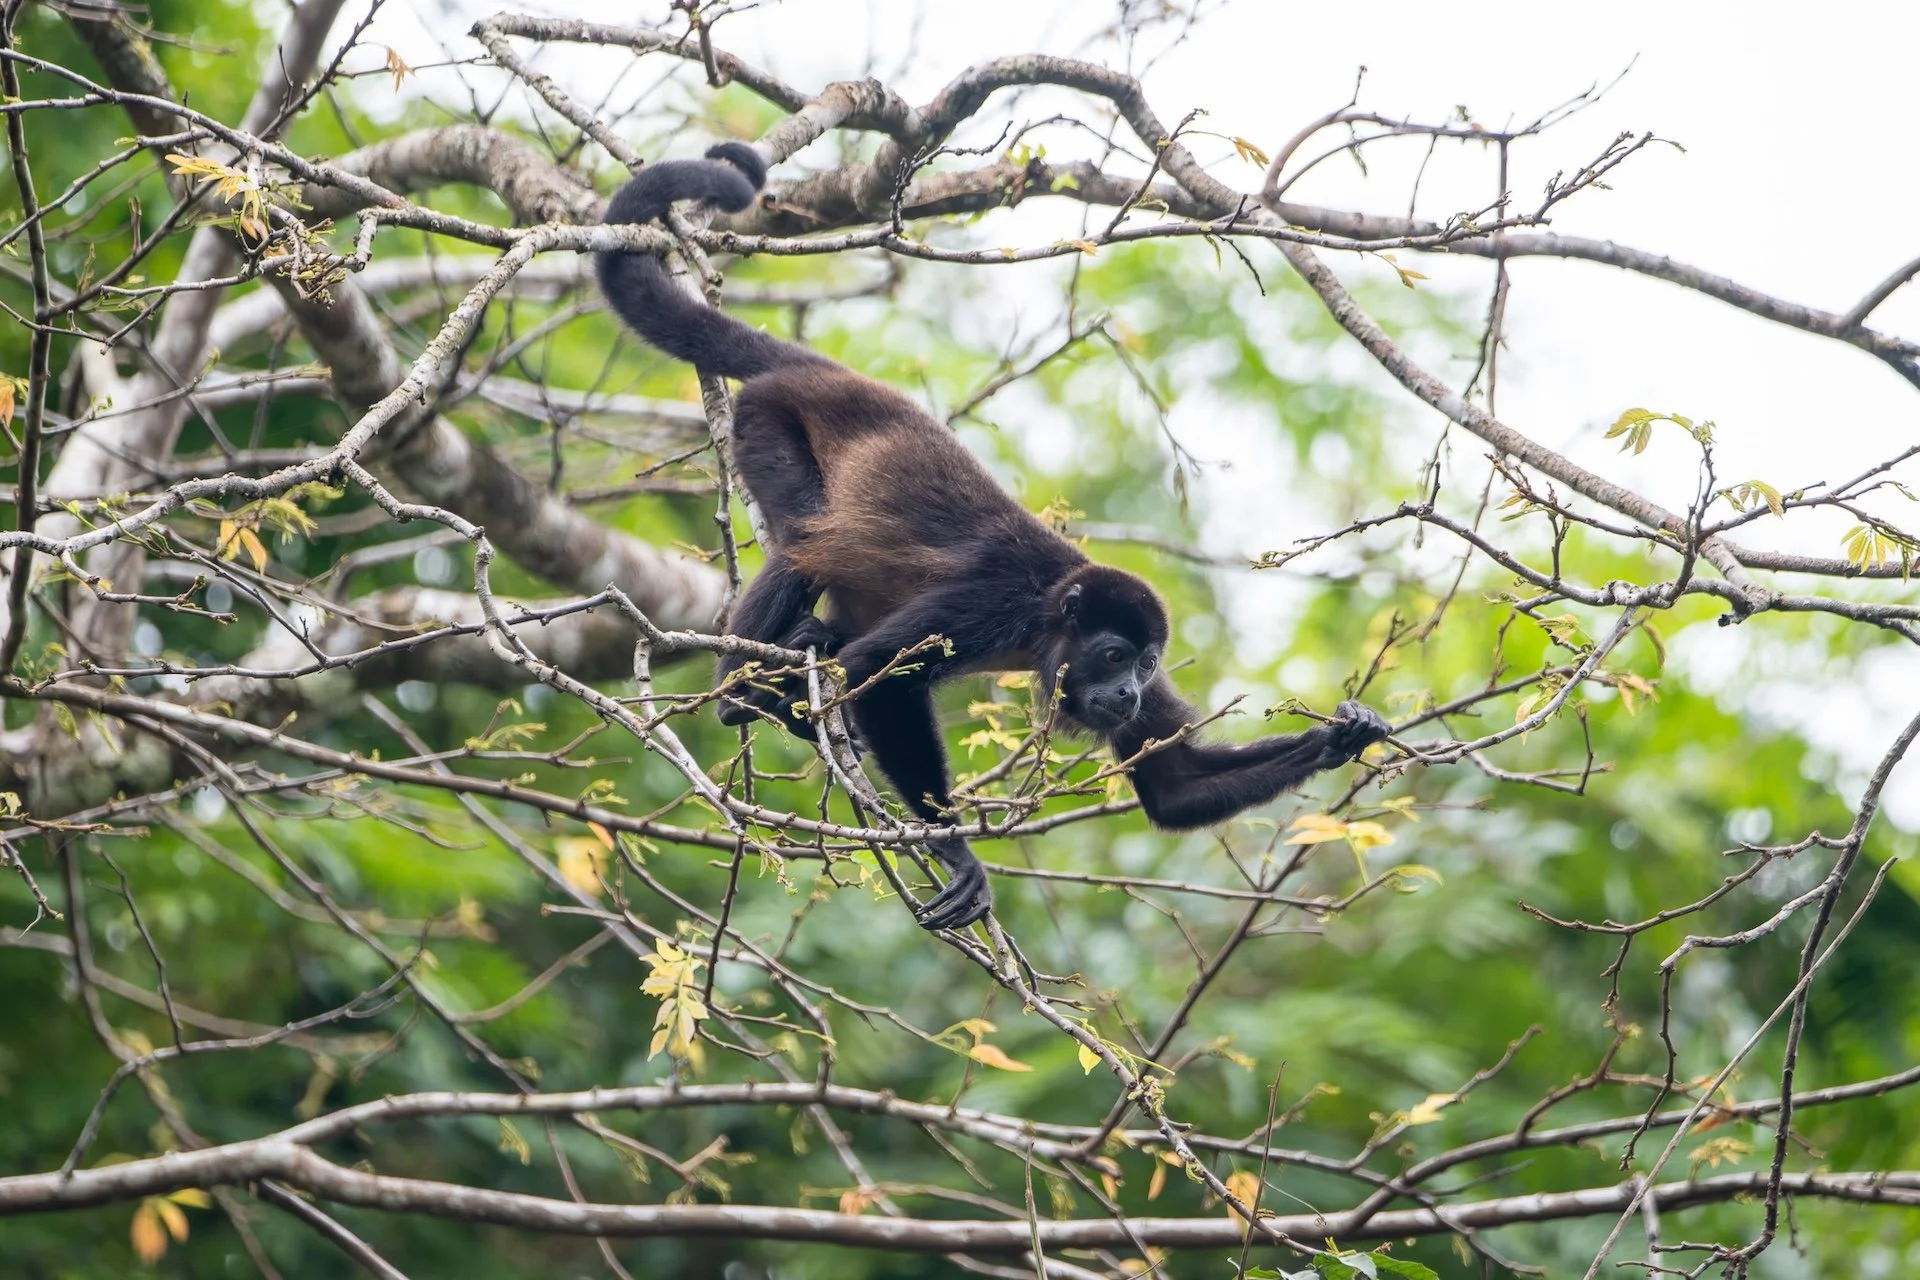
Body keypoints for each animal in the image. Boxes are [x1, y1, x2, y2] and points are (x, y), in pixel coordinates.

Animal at [596, 142, 1393, 931]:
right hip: (768, 418)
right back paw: (745, 691)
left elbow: (1173, 784)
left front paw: (1342, 733)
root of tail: (825, 373)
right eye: (1113, 656)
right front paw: (956, 852)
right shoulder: (990, 604)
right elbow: (879, 676)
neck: (1045, 621)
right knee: (803, 540)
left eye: (1144, 665)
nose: (1128, 693)